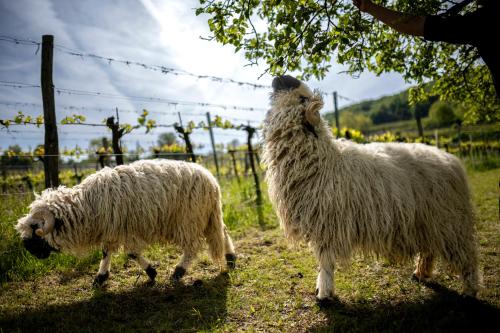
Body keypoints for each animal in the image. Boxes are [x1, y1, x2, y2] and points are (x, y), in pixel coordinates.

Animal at [15, 158, 234, 286]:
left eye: (35, 227)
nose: (28, 250)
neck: (87, 205)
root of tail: (211, 180)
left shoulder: (124, 228)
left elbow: (131, 253)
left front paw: (151, 272)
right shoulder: (111, 230)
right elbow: (106, 252)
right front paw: (101, 277)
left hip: (189, 218)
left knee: (192, 247)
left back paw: (178, 272)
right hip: (209, 215)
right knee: (223, 232)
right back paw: (231, 259)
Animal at [264, 75, 478, 300]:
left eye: (303, 98)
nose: (282, 77)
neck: (321, 160)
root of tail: (452, 159)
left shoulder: (327, 224)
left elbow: (325, 261)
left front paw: (324, 293)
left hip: (450, 220)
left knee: (466, 255)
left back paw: (469, 290)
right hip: (428, 220)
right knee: (429, 249)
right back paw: (420, 273)